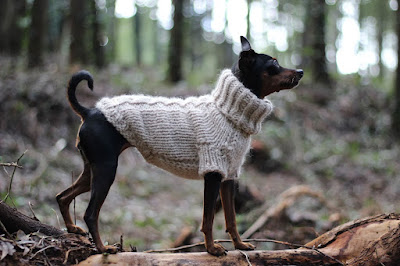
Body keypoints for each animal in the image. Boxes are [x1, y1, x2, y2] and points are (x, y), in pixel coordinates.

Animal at [54, 35, 302, 256]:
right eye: (274, 64)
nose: (300, 71)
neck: (227, 112)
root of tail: (89, 111)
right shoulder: (213, 174)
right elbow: (208, 219)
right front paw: (212, 249)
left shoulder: (228, 176)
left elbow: (230, 219)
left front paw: (239, 245)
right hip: (106, 170)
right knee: (90, 213)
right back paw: (103, 249)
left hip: (93, 170)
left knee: (62, 196)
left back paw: (72, 228)